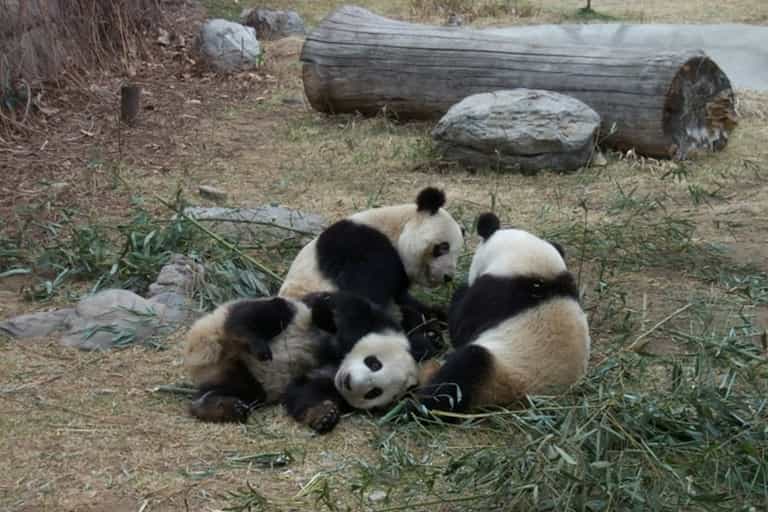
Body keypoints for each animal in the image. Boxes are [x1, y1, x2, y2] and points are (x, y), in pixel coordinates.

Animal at [182, 291, 434, 433]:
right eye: (374, 364)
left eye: (374, 392)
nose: (350, 383)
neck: (337, 363)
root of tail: (201, 349)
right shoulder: (373, 321)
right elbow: (343, 312)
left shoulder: (327, 383)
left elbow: (305, 394)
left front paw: (325, 416)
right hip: (242, 318)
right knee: (266, 313)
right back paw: (251, 339)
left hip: (241, 377)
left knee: (240, 390)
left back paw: (218, 407)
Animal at [278, 186, 465, 337]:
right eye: (443, 247)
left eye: (457, 253)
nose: (448, 276)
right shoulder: (364, 249)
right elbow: (365, 296)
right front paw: (425, 330)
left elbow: (401, 297)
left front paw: (438, 316)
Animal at [413, 212, 591, 417]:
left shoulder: (495, 292)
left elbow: (462, 327)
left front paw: (461, 290)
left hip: (501, 375)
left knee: (461, 374)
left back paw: (420, 407)